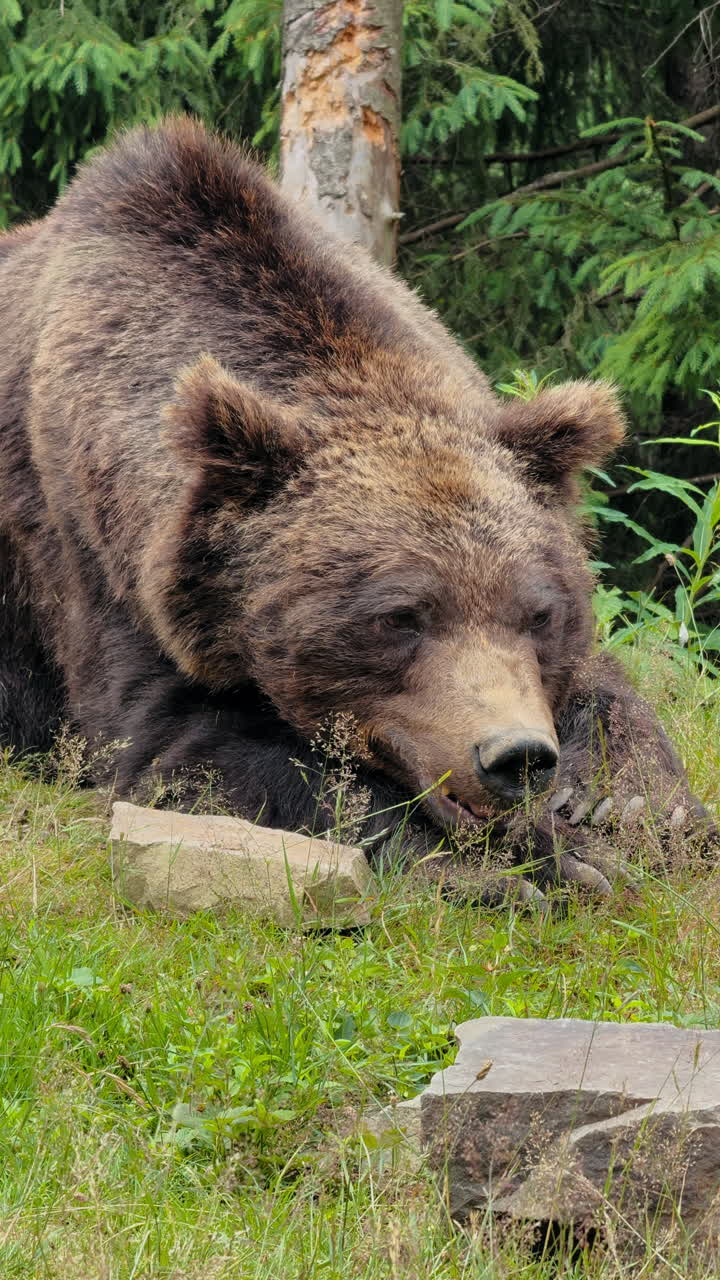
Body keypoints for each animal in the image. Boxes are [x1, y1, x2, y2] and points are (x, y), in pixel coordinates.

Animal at [0, 117, 712, 900]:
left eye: (540, 614)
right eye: (400, 616)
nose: (516, 756)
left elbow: (606, 690)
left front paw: (630, 803)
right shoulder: (96, 565)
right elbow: (193, 747)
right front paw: (527, 862)